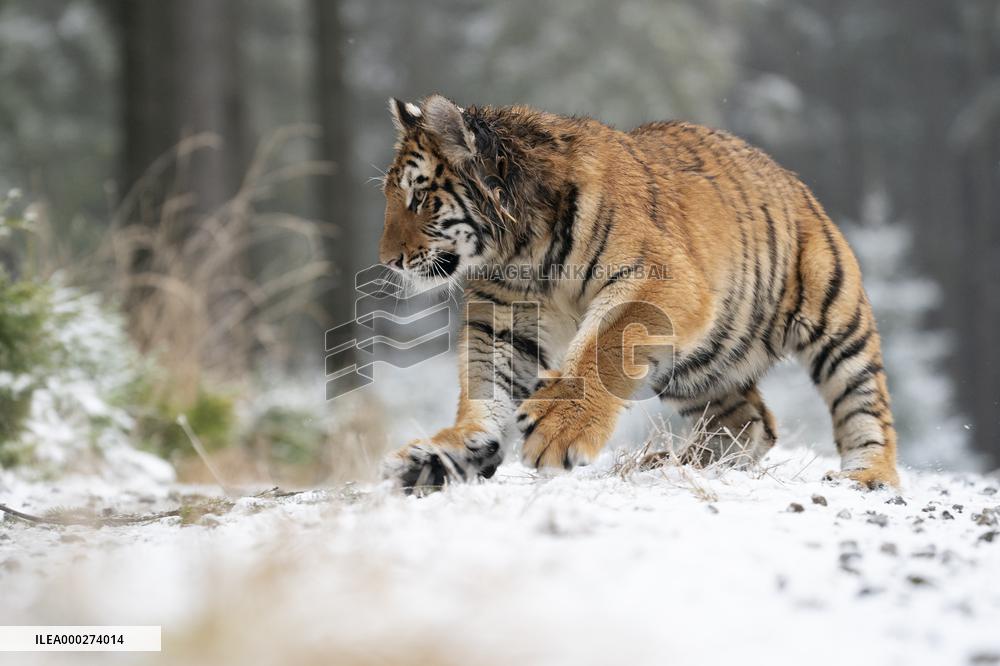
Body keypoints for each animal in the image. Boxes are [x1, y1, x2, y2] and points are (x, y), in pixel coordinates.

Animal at [377, 94, 899, 491]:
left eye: (418, 197)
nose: (387, 260)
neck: (520, 251)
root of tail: (788, 175)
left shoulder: (657, 280)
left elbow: (604, 345)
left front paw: (558, 429)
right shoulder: (502, 322)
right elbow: (487, 390)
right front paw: (441, 456)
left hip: (836, 316)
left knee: (864, 406)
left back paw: (867, 476)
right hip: (697, 366)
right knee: (752, 422)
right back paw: (676, 464)